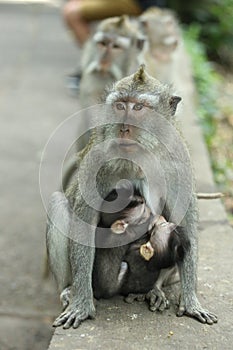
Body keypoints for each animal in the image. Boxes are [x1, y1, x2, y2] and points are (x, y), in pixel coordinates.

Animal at [46, 65, 218, 328]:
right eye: (120, 105)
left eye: (138, 108)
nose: (124, 128)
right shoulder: (97, 161)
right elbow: (84, 222)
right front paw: (82, 304)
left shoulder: (179, 163)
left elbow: (185, 224)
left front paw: (190, 300)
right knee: (58, 204)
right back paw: (69, 290)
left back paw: (153, 289)